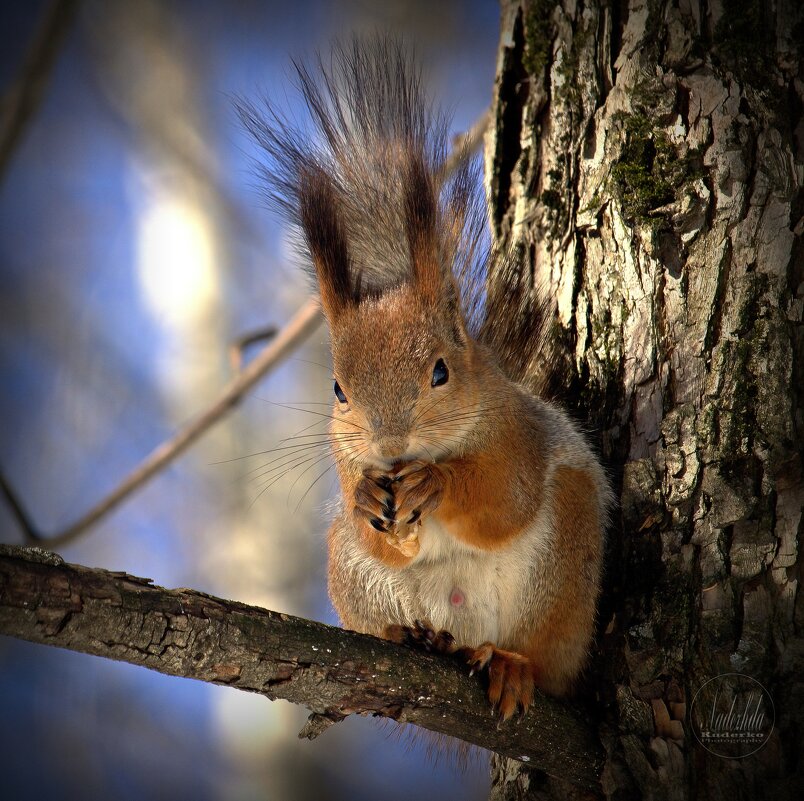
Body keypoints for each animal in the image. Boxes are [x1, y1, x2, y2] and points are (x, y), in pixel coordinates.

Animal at [242, 37, 612, 720]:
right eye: (338, 390)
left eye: (441, 370)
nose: (391, 448)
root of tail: (466, 629)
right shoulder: (345, 461)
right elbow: (384, 535)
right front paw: (370, 498)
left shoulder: (517, 431)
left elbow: (504, 500)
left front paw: (435, 483)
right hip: (351, 572)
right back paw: (410, 636)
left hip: (564, 566)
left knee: (540, 655)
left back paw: (512, 664)